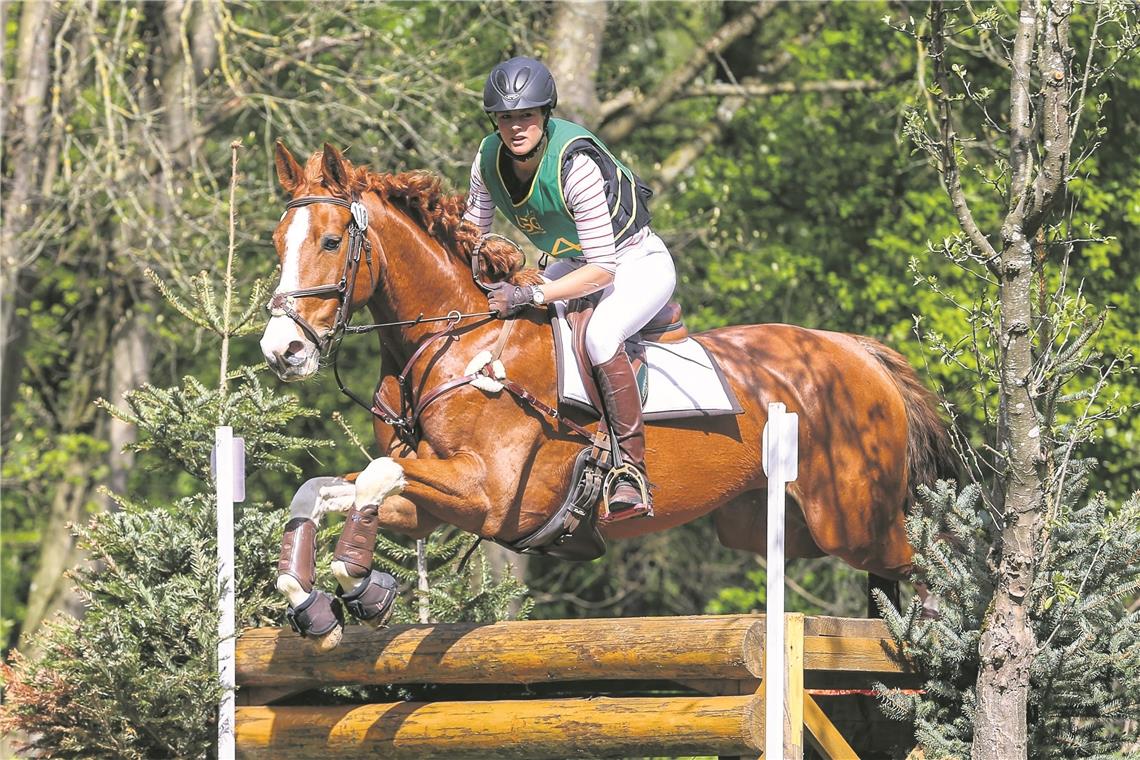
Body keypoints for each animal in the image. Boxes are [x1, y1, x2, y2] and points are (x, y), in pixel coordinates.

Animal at [262, 139, 957, 647]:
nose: (282, 351)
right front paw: (326, 602)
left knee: (926, 563)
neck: (456, 339)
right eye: (275, 244)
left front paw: (357, 586)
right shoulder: (434, 503)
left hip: (851, 519)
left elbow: (376, 477)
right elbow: (324, 492)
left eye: (330, 242)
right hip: (779, 522)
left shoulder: (487, 493)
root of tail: (855, 351)